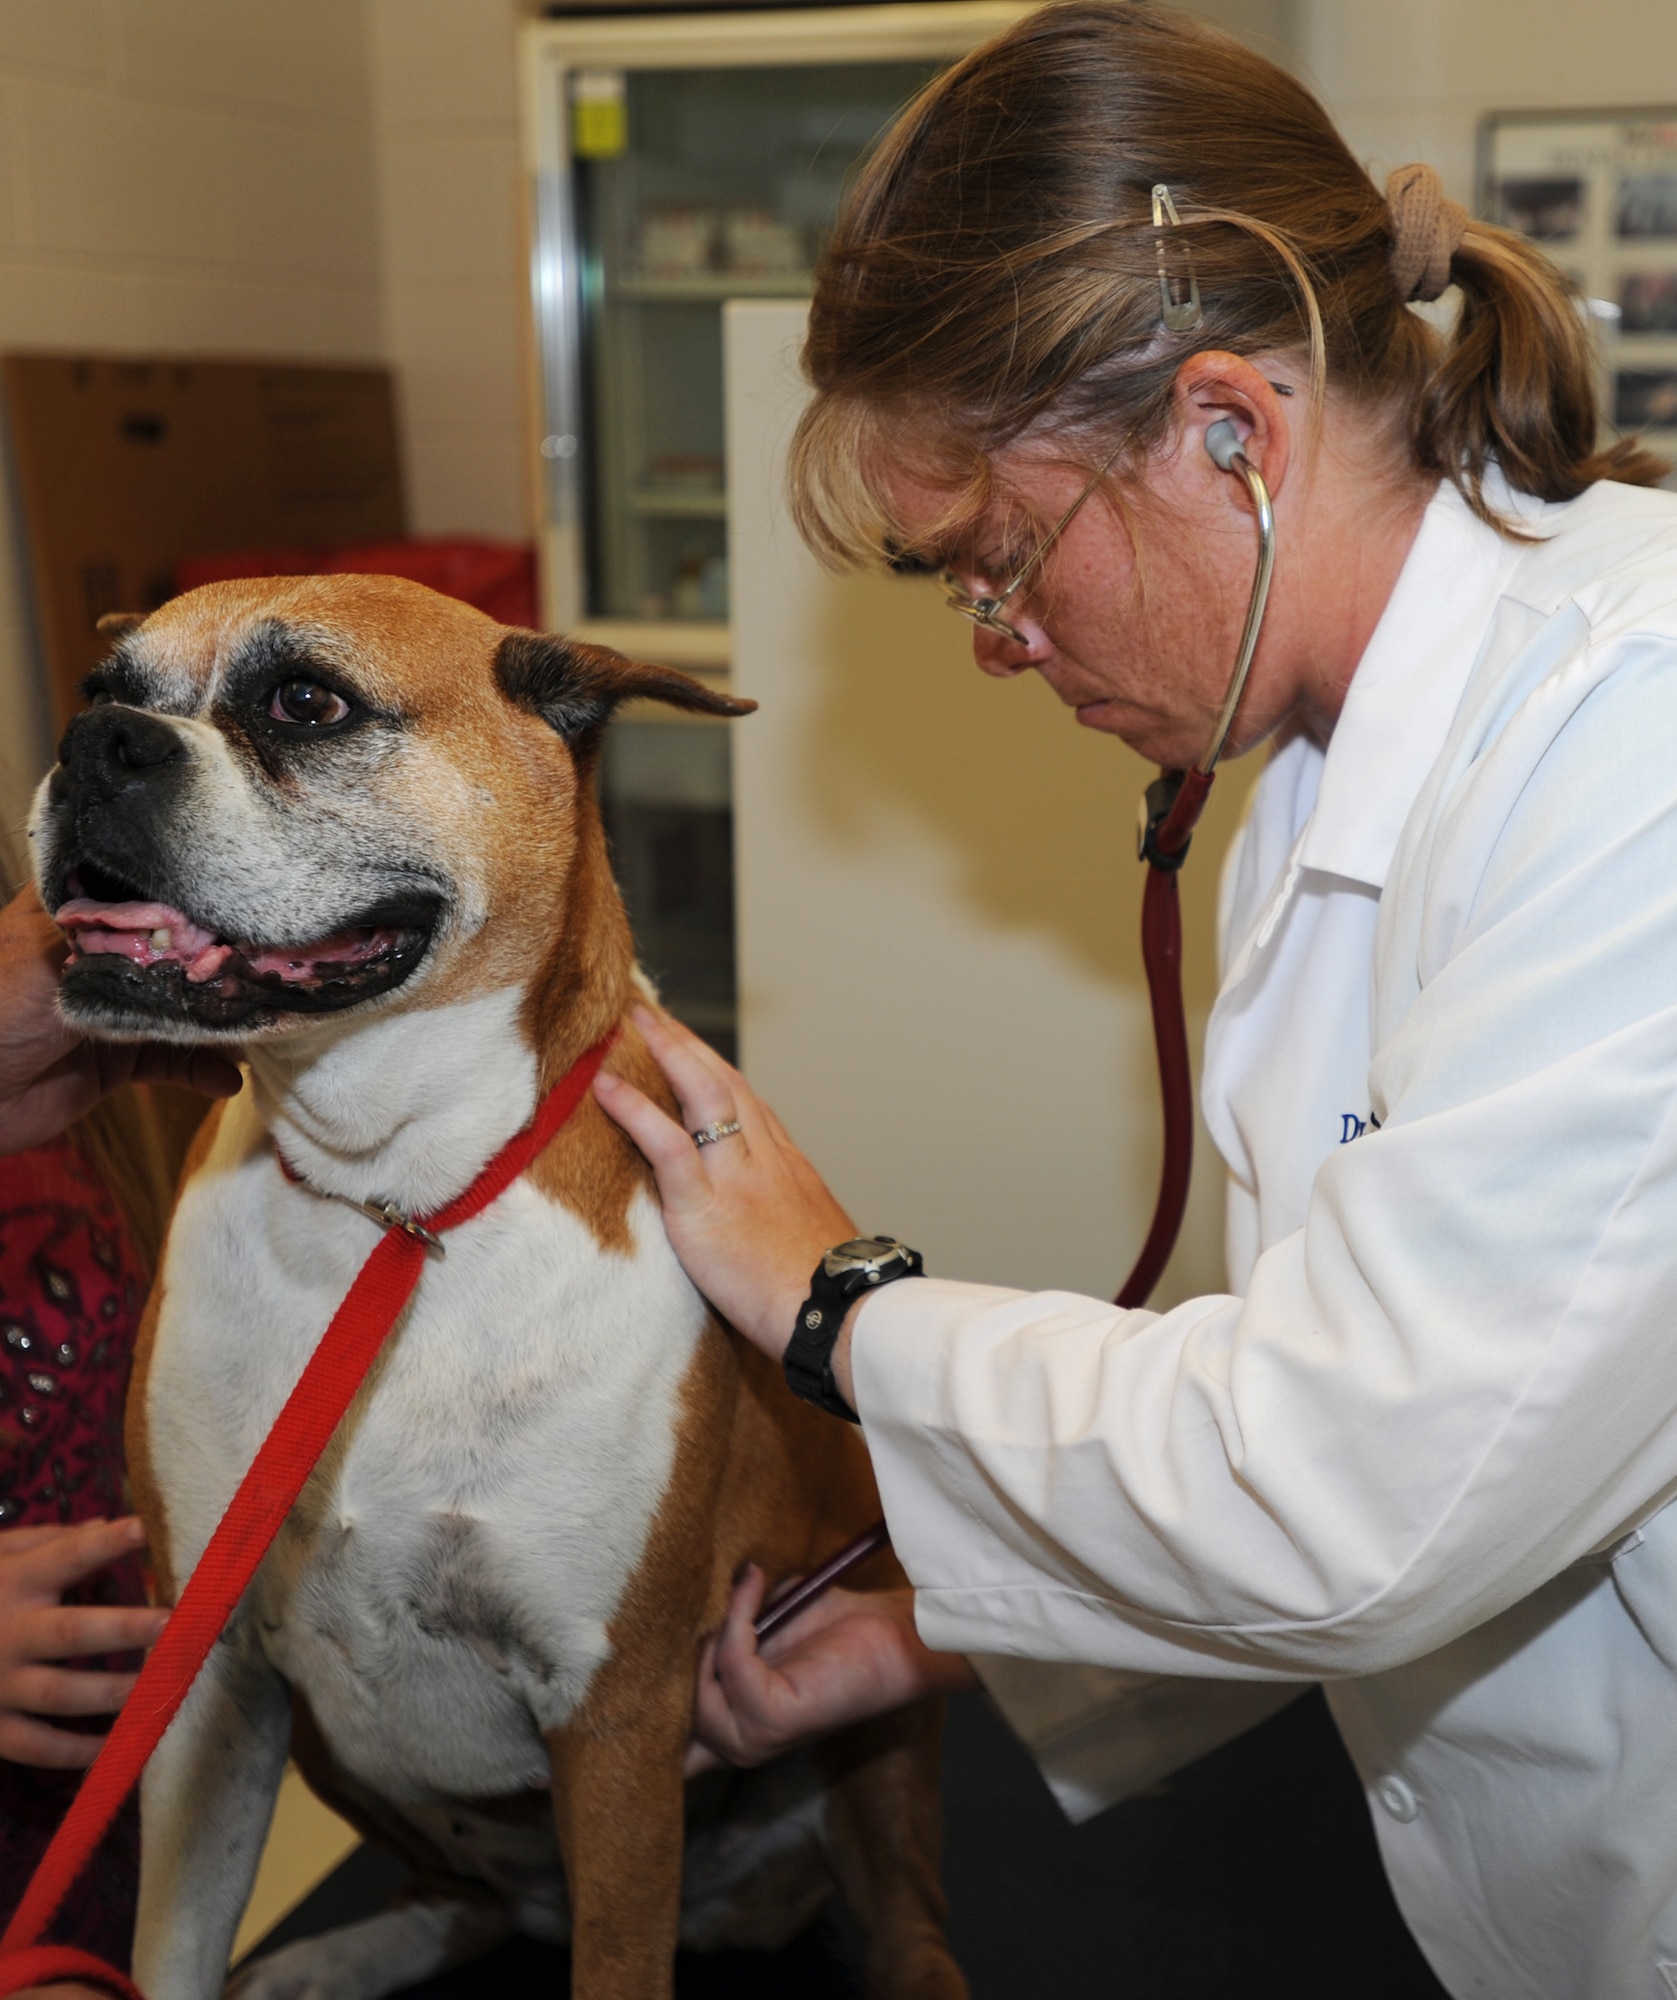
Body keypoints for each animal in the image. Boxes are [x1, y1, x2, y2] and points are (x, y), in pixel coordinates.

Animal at [26, 580, 964, 2000]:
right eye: (99, 688)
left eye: (307, 701)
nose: (94, 747)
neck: (394, 1205)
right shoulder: (203, 1681)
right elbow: (173, 1947)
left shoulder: (614, 1715)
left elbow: (616, 1951)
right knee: (467, 1900)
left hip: (879, 1717)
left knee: (908, 1920)